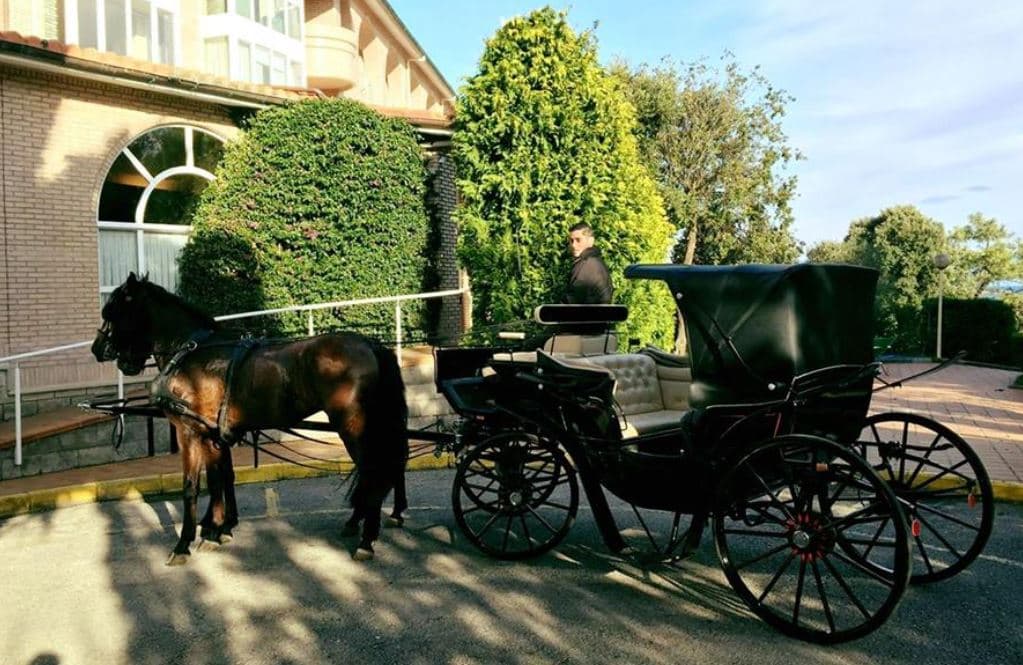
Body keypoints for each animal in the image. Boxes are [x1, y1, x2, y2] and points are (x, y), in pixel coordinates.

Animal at [89, 272, 407, 560]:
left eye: (112, 312)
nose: (97, 349)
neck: (192, 354)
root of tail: (370, 344)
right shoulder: (214, 434)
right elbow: (220, 478)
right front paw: (218, 529)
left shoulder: (189, 431)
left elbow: (192, 486)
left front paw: (185, 543)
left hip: (352, 426)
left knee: (374, 471)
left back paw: (366, 539)